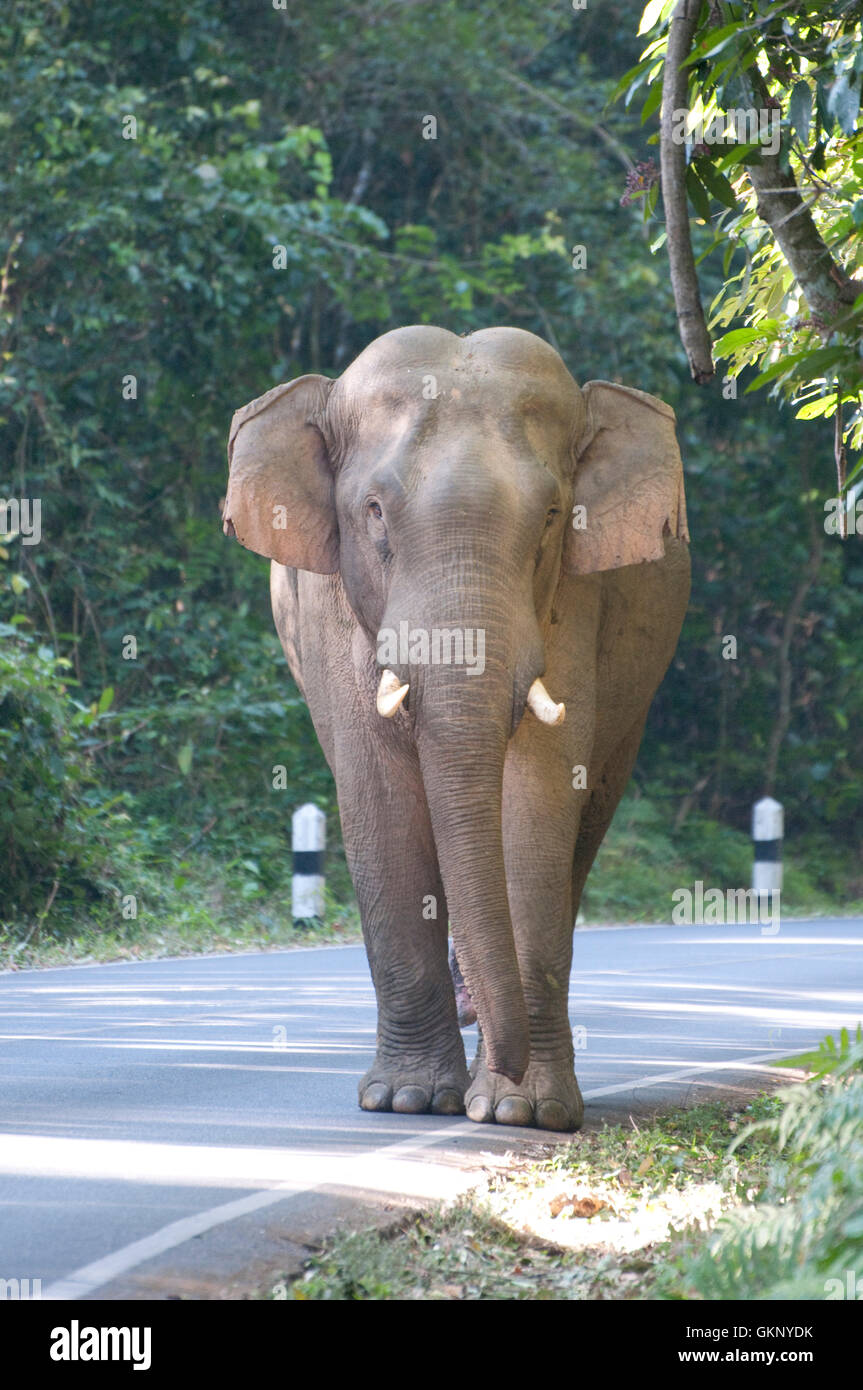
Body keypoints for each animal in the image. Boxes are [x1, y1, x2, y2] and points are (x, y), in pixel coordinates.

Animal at [220, 325, 686, 1128]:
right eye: (374, 510)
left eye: (554, 516)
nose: (498, 1058)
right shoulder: (330, 608)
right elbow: (378, 799)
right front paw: (405, 1100)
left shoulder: (576, 596)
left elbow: (536, 797)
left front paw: (521, 1111)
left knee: (582, 830)